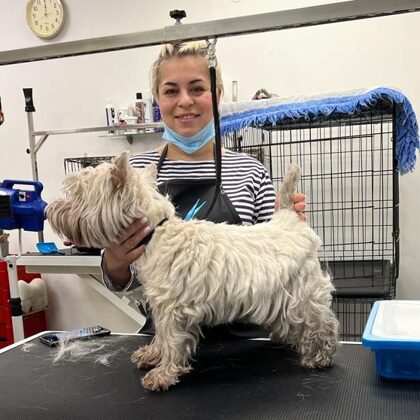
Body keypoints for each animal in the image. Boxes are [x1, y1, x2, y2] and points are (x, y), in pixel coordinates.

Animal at [46, 151, 339, 392]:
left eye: (76, 193)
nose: (50, 210)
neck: (155, 234)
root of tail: (290, 220)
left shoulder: (171, 309)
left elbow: (170, 340)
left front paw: (162, 374)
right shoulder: (160, 306)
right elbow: (160, 336)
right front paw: (152, 355)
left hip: (302, 293)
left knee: (323, 322)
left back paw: (319, 356)